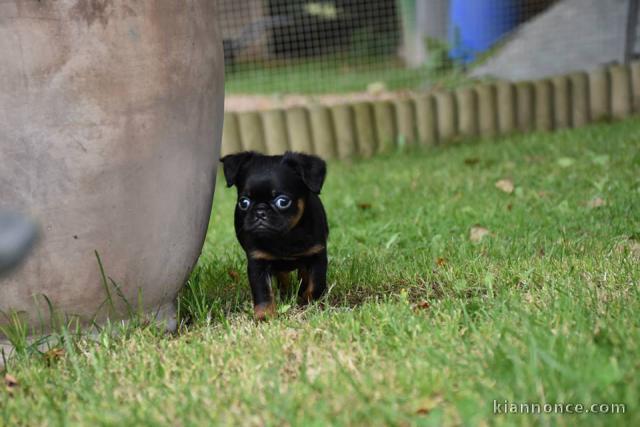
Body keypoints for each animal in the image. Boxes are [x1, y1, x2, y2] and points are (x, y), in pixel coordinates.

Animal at [221, 151, 330, 320]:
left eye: (282, 202)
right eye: (243, 203)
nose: (260, 212)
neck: (284, 236)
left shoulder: (317, 255)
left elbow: (316, 284)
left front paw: (313, 304)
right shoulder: (258, 263)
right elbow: (263, 292)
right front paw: (264, 315)